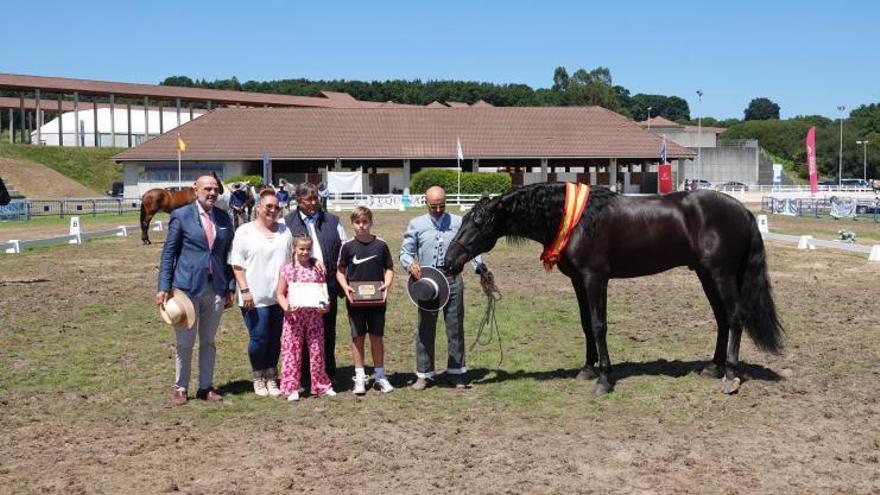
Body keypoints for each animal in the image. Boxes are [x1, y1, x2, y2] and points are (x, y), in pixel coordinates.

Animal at [446, 184, 784, 398]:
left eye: (479, 223)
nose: (449, 261)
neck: (577, 221)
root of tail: (744, 212)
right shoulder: (578, 280)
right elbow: (585, 325)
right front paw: (587, 369)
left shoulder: (596, 278)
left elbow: (599, 326)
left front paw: (604, 380)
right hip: (705, 274)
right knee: (722, 319)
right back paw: (713, 368)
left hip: (721, 274)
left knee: (736, 317)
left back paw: (729, 376)